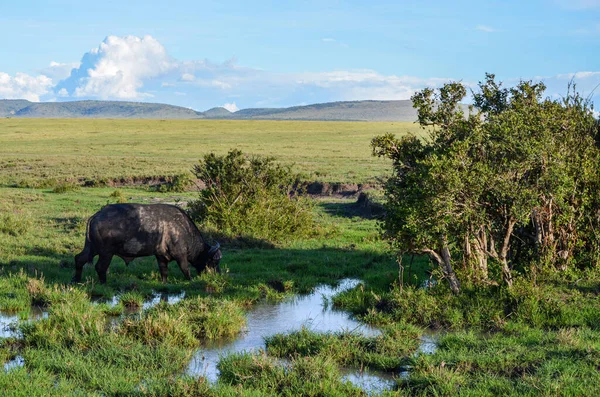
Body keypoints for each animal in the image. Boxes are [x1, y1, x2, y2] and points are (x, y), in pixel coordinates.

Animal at [72, 203, 221, 284]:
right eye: (214, 261)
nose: (217, 275)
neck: (183, 229)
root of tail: (96, 216)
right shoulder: (181, 256)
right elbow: (186, 270)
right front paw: (190, 280)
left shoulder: (161, 256)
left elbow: (164, 272)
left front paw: (164, 283)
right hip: (106, 253)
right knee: (100, 267)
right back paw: (104, 283)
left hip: (92, 248)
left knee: (79, 259)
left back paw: (76, 280)